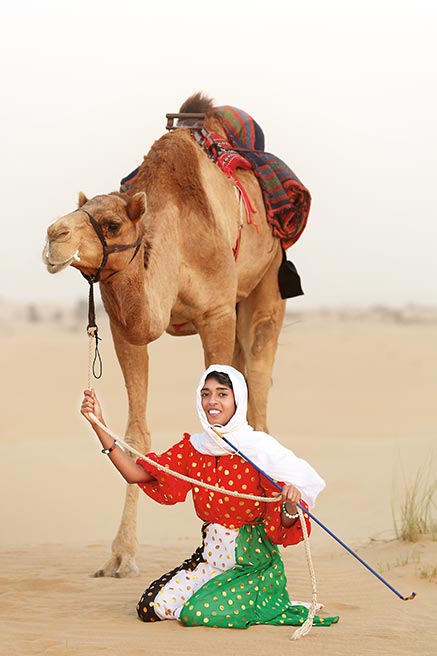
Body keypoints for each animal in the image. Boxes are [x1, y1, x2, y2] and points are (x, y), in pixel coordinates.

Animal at [44, 93, 288, 580]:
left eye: (113, 223)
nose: (53, 235)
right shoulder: (125, 329)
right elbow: (136, 433)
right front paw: (120, 556)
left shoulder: (216, 311)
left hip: (267, 281)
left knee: (258, 376)